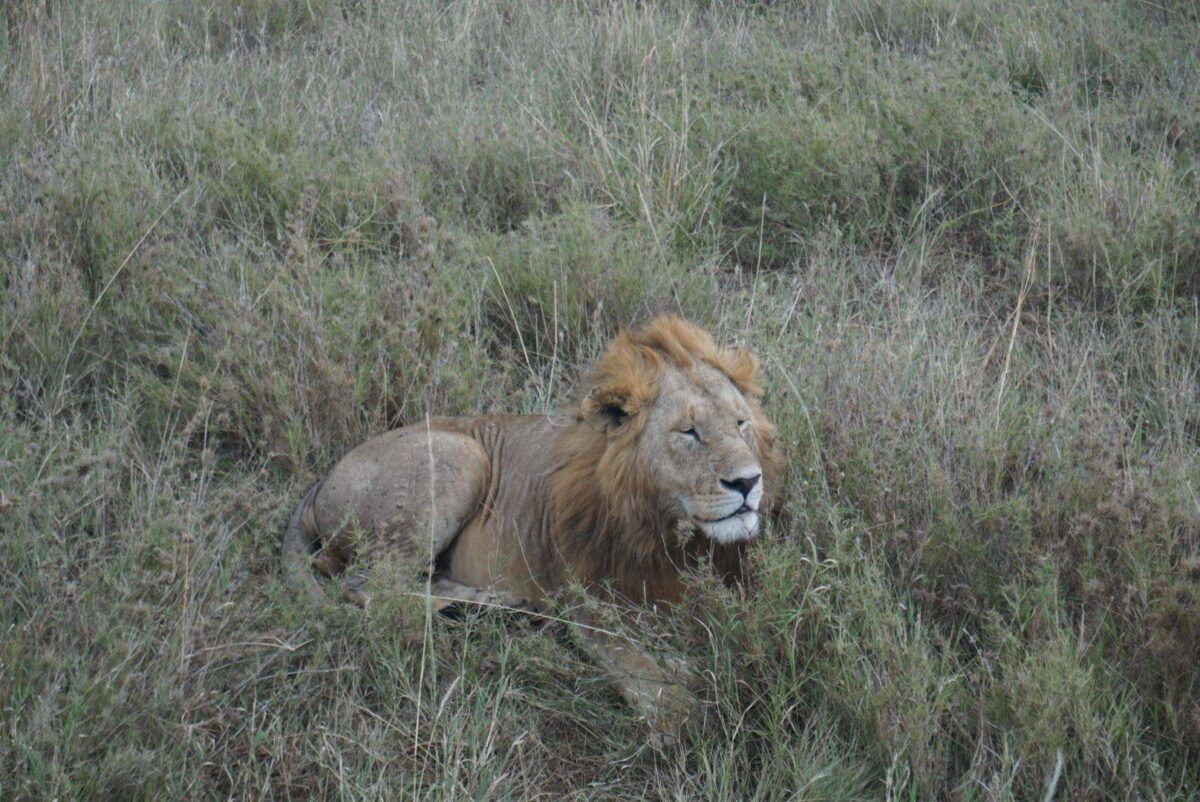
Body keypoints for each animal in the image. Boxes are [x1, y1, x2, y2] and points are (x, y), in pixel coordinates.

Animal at [283, 315, 785, 736]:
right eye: (689, 432)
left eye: (741, 423)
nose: (748, 482)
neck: (665, 528)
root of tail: (319, 484)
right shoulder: (587, 598)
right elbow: (635, 662)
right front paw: (688, 713)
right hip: (460, 455)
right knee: (370, 586)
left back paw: (489, 606)